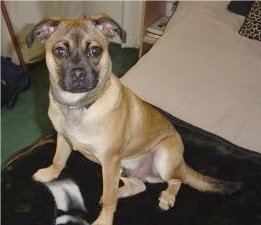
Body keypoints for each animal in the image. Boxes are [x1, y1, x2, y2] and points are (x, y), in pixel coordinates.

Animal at [27, 14, 239, 225]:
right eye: (59, 51)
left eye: (95, 51)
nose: (78, 73)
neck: (79, 106)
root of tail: (182, 164)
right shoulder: (63, 138)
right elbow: (59, 159)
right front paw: (49, 173)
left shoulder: (110, 160)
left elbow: (110, 199)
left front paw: (104, 220)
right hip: (124, 167)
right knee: (139, 186)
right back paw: (121, 192)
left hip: (162, 157)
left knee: (176, 180)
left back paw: (167, 196)